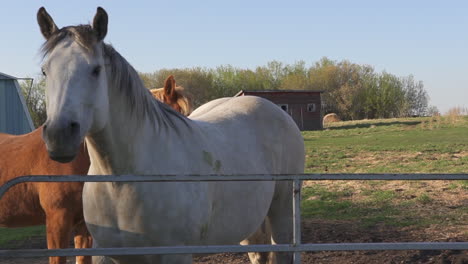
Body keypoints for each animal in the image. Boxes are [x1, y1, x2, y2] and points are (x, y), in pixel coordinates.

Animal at [38, 6, 306, 264]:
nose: (59, 135)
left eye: (95, 70)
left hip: (283, 210)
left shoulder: (174, 254)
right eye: (44, 71)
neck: (120, 183)